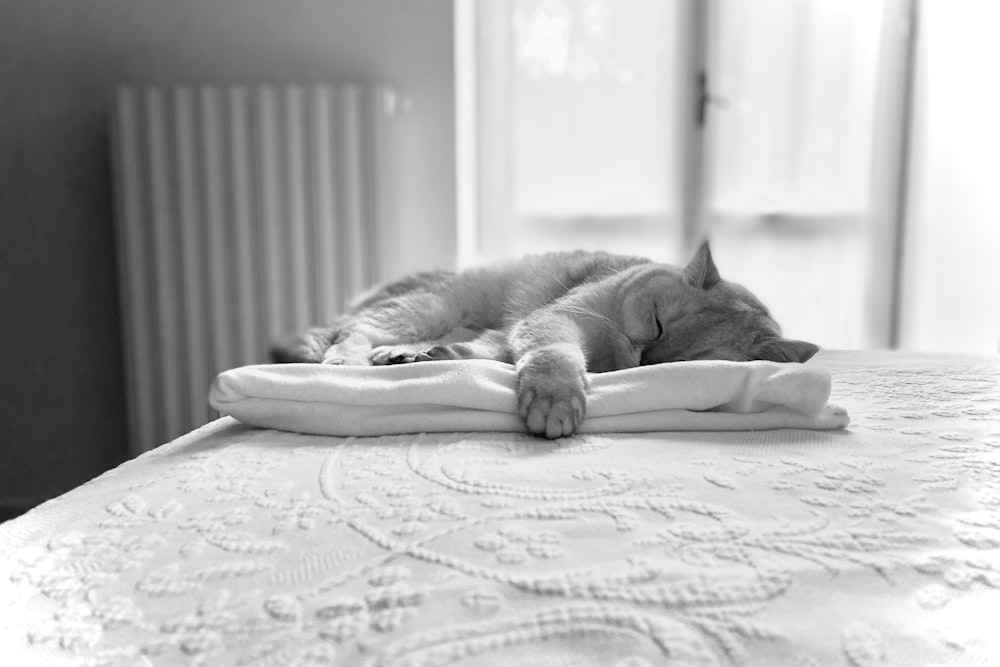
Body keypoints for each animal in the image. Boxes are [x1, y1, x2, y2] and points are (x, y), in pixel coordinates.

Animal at [270, 243, 816, 440]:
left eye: (692, 360)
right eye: (659, 321)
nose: (649, 356)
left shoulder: (525, 327)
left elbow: (500, 353)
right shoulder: (558, 320)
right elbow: (554, 359)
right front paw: (557, 399)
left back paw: (412, 355)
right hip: (431, 307)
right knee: (350, 333)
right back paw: (348, 359)